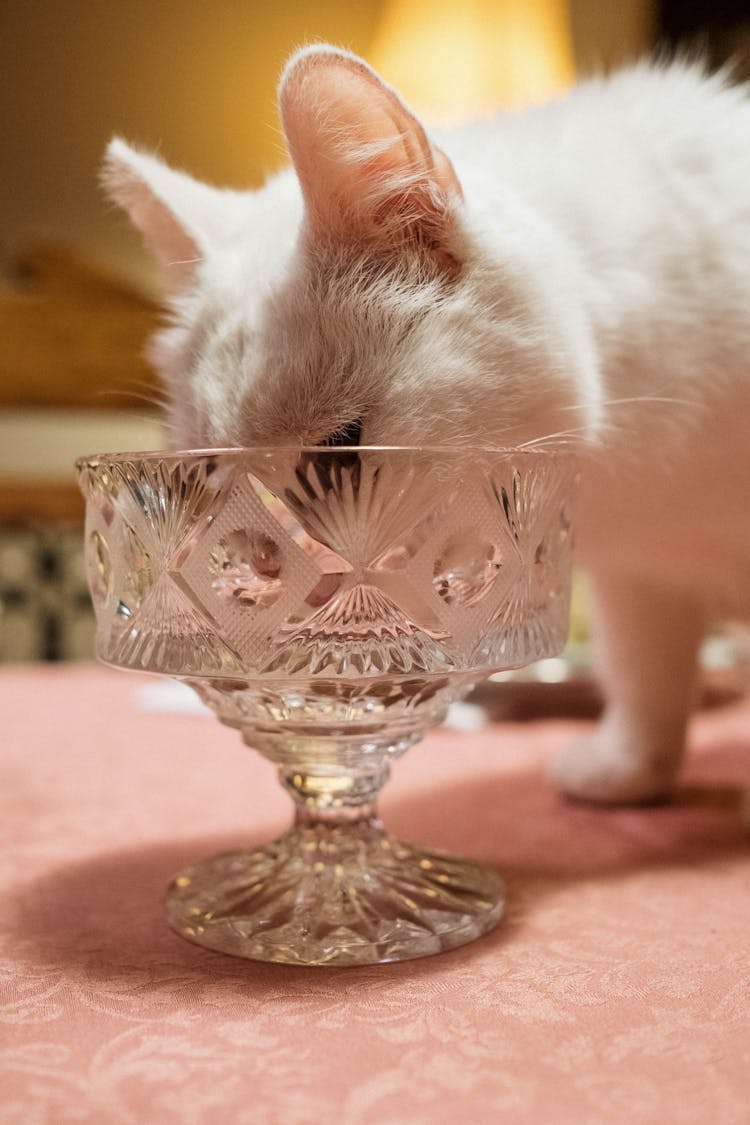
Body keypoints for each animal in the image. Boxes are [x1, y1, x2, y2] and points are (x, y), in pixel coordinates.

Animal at [102, 41, 750, 801]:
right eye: (208, 467)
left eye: (340, 451)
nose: (264, 566)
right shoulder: (642, 577)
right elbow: (647, 668)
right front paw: (630, 769)